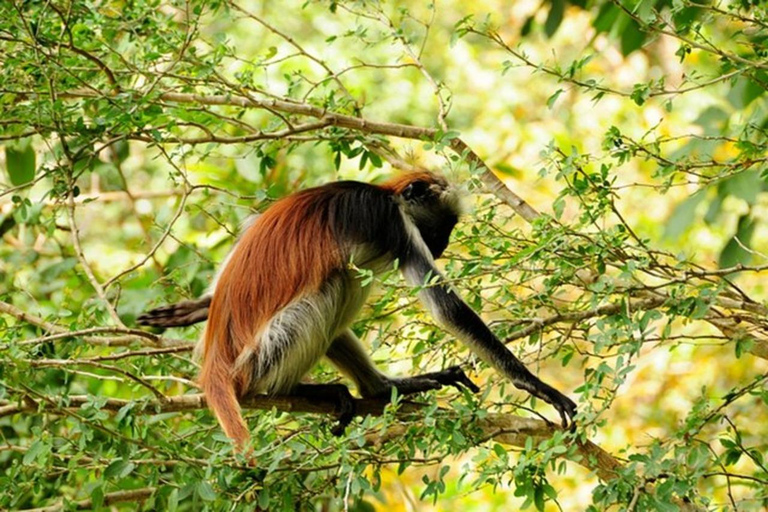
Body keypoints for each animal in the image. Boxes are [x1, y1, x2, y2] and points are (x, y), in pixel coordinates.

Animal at [140, 173, 576, 448]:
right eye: (443, 228)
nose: (443, 246)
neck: (384, 193)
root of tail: (218, 353)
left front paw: (195, 308)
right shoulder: (396, 225)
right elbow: (446, 310)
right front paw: (536, 385)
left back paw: (380, 388)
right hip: (257, 357)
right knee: (335, 286)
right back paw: (290, 390)